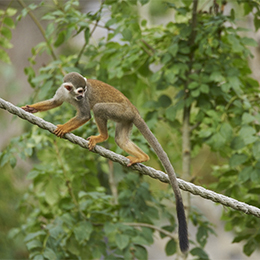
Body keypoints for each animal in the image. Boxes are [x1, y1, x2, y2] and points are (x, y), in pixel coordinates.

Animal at [21, 72, 188, 252]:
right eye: (79, 90)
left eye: (84, 91)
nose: (82, 96)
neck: (71, 95)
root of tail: (134, 110)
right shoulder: (61, 91)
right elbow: (55, 102)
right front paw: (31, 108)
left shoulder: (83, 103)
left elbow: (85, 115)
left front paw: (64, 128)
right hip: (126, 118)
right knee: (121, 139)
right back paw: (142, 157)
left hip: (121, 112)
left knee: (99, 108)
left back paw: (102, 137)